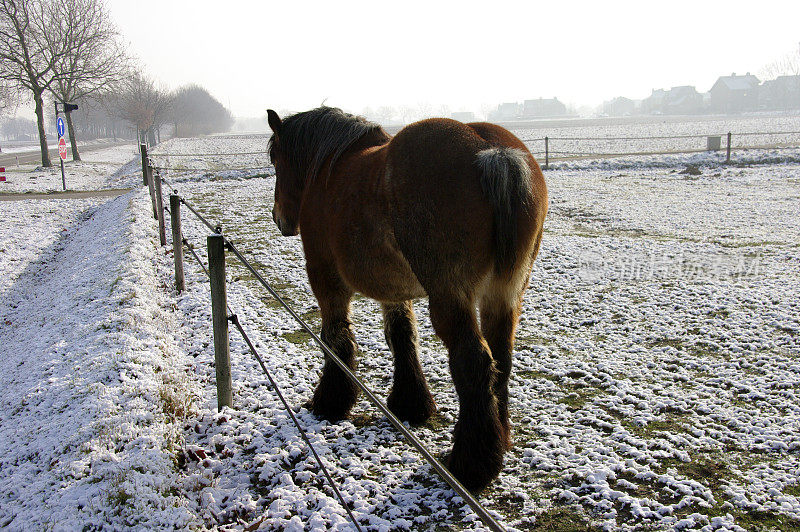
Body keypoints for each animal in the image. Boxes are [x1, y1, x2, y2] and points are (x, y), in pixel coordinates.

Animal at [266, 105, 548, 490]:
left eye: (276, 160)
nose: (279, 218)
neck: (329, 168)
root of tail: (491, 151)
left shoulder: (325, 279)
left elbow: (335, 338)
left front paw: (330, 402)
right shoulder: (393, 288)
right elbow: (401, 336)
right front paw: (411, 403)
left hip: (450, 297)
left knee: (474, 362)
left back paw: (470, 465)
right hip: (503, 294)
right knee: (501, 358)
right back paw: (499, 440)